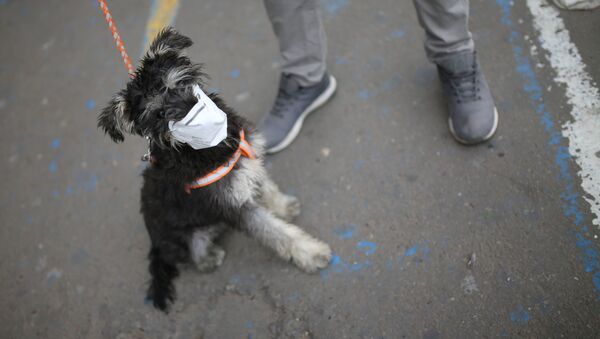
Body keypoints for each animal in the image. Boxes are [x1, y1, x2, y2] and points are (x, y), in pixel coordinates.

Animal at [98, 27, 332, 312]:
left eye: (178, 84)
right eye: (159, 113)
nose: (190, 108)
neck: (197, 150)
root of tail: (156, 246)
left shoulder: (243, 161)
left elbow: (265, 187)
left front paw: (283, 207)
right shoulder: (232, 206)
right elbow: (273, 231)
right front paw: (310, 252)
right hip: (185, 233)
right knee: (194, 252)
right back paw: (208, 258)